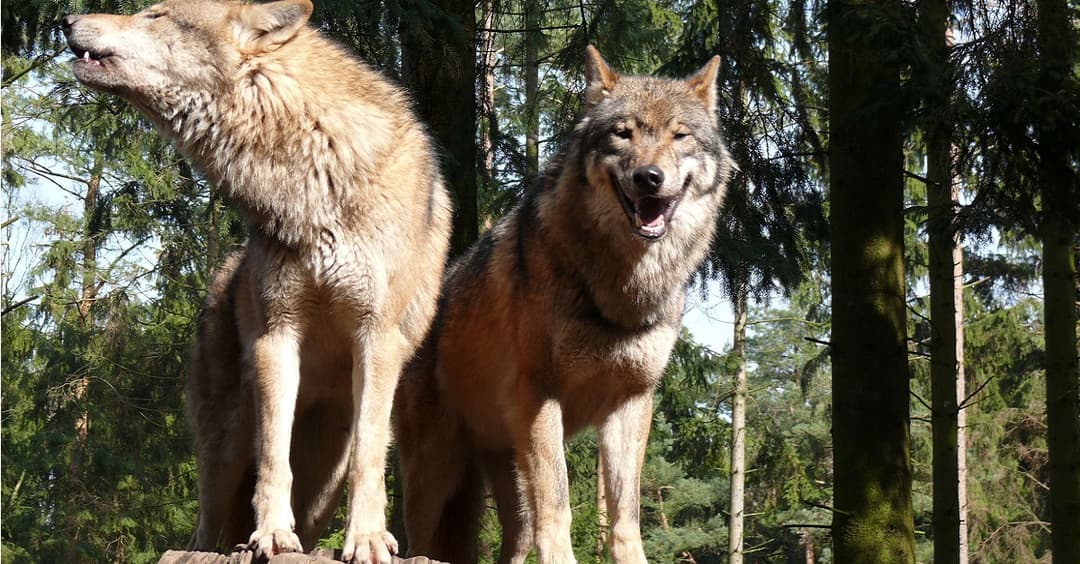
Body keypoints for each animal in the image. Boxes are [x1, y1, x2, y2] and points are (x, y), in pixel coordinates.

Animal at [62, 1, 452, 562]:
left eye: (156, 15)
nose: (67, 20)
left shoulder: (377, 338)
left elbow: (370, 457)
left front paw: (368, 538)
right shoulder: (276, 335)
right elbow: (273, 454)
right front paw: (270, 532)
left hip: (322, 488)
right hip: (222, 453)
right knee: (209, 525)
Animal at [394, 46, 733, 564]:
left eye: (680, 136)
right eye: (623, 133)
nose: (649, 177)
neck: (621, 289)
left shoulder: (631, 402)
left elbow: (625, 515)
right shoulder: (541, 394)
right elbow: (560, 503)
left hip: (506, 477)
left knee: (514, 541)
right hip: (434, 469)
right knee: (418, 534)